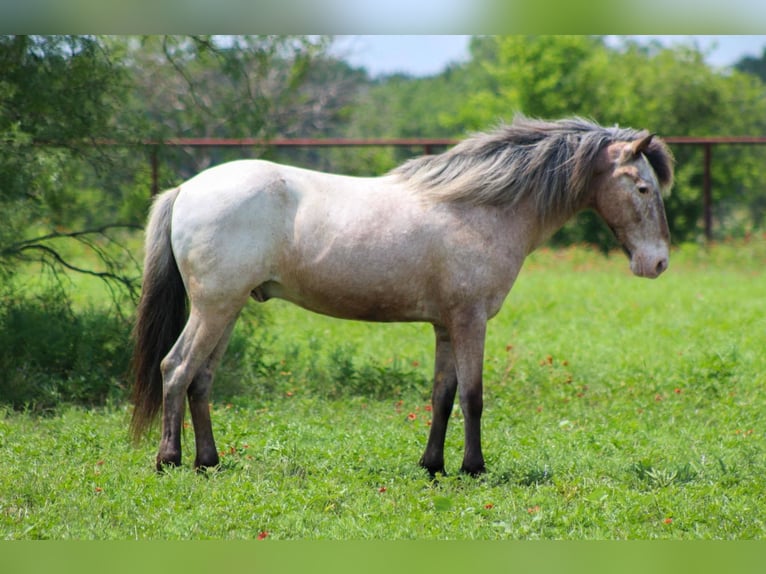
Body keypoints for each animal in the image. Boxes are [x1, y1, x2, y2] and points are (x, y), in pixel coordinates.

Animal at [130, 116, 674, 476]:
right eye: (643, 188)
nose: (659, 263)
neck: (481, 207)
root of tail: (186, 189)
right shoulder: (471, 320)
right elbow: (473, 396)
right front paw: (474, 468)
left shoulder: (446, 325)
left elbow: (442, 394)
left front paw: (432, 465)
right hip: (214, 308)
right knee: (176, 369)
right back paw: (169, 460)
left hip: (230, 308)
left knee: (200, 379)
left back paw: (209, 461)